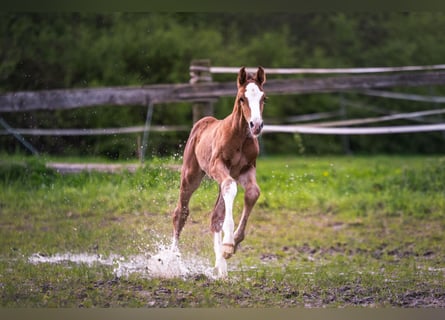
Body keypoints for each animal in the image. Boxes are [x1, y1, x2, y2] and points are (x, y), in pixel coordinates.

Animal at [172, 65, 266, 278]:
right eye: (242, 98)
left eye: (264, 98)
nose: (256, 125)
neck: (240, 137)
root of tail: (203, 122)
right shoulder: (218, 165)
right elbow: (230, 188)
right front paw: (229, 242)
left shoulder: (246, 169)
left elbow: (252, 193)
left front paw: (232, 244)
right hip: (191, 175)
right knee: (181, 212)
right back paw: (171, 261)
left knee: (215, 216)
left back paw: (221, 268)